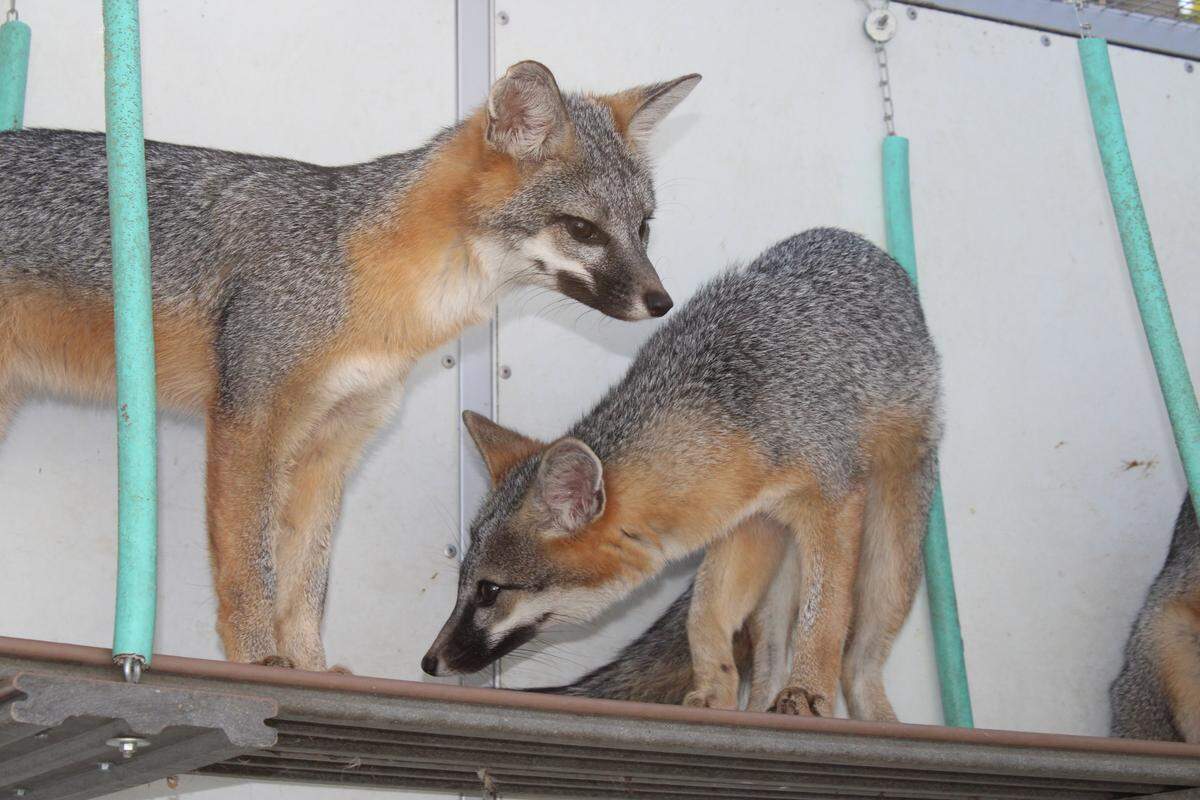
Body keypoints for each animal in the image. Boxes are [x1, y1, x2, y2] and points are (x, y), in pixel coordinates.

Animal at [0, 61, 701, 671]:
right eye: (583, 230)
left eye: (643, 227)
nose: (662, 301)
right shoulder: (248, 423)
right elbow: (250, 567)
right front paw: (258, 659)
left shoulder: (331, 443)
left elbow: (307, 580)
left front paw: (312, 667)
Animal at [422, 227, 942, 720]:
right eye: (463, 582)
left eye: (489, 591)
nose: (428, 662)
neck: (732, 411)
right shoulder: (749, 522)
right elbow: (704, 614)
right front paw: (713, 692)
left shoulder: (832, 502)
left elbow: (825, 613)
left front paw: (809, 690)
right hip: (778, 575)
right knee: (770, 656)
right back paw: (761, 706)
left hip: (890, 564)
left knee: (859, 662)